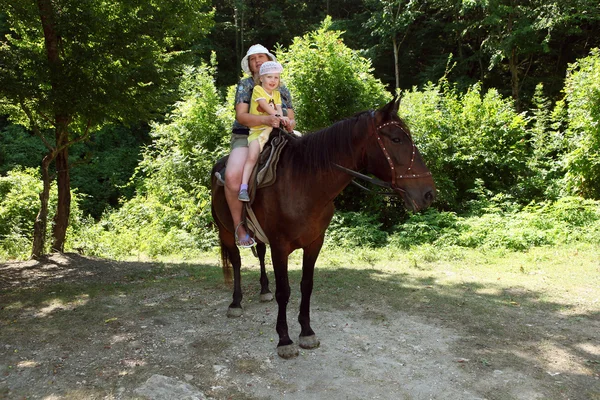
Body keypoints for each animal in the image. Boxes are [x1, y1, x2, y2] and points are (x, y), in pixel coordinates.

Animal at [211, 97, 436, 360]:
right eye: (397, 139)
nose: (428, 193)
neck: (303, 182)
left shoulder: (314, 243)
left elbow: (306, 286)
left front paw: (307, 332)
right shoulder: (280, 247)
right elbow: (284, 291)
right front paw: (284, 339)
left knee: (260, 254)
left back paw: (264, 290)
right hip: (226, 230)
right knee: (236, 262)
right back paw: (235, 303)